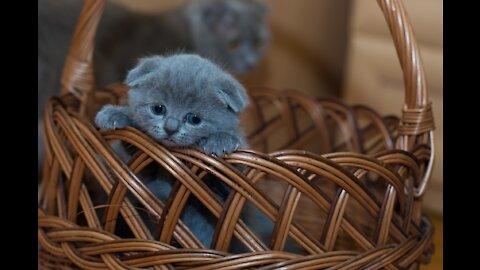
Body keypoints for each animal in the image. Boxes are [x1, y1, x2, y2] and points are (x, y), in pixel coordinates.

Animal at [95, 53, 249, 247]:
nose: (170, 128)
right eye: (158, 108)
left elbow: (232, 178)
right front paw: (117, 114)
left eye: (194, 119)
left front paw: (221, 139)